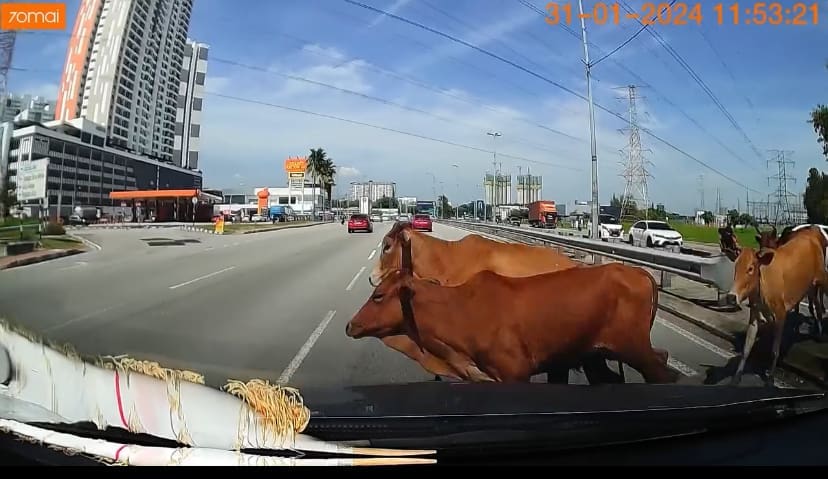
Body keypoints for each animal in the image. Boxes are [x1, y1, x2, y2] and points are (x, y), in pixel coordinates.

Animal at [346, 260, 676, 384]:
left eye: (378, 295)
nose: (350, 325)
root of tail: (639, 271)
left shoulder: (515, 372)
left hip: (636, 350)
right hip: (597, 354)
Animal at [728, 226, 824, 386]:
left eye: (750, 268)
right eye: (735, 267)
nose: (731, 297)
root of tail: (810, 232)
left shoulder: (780, 315)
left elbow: (775, 350)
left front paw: (770, 378)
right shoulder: (755, 316)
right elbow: (746, 348)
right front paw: (736, 377)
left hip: (822, 278)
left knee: (819, 306)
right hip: (810, 287)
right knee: (814, 303)